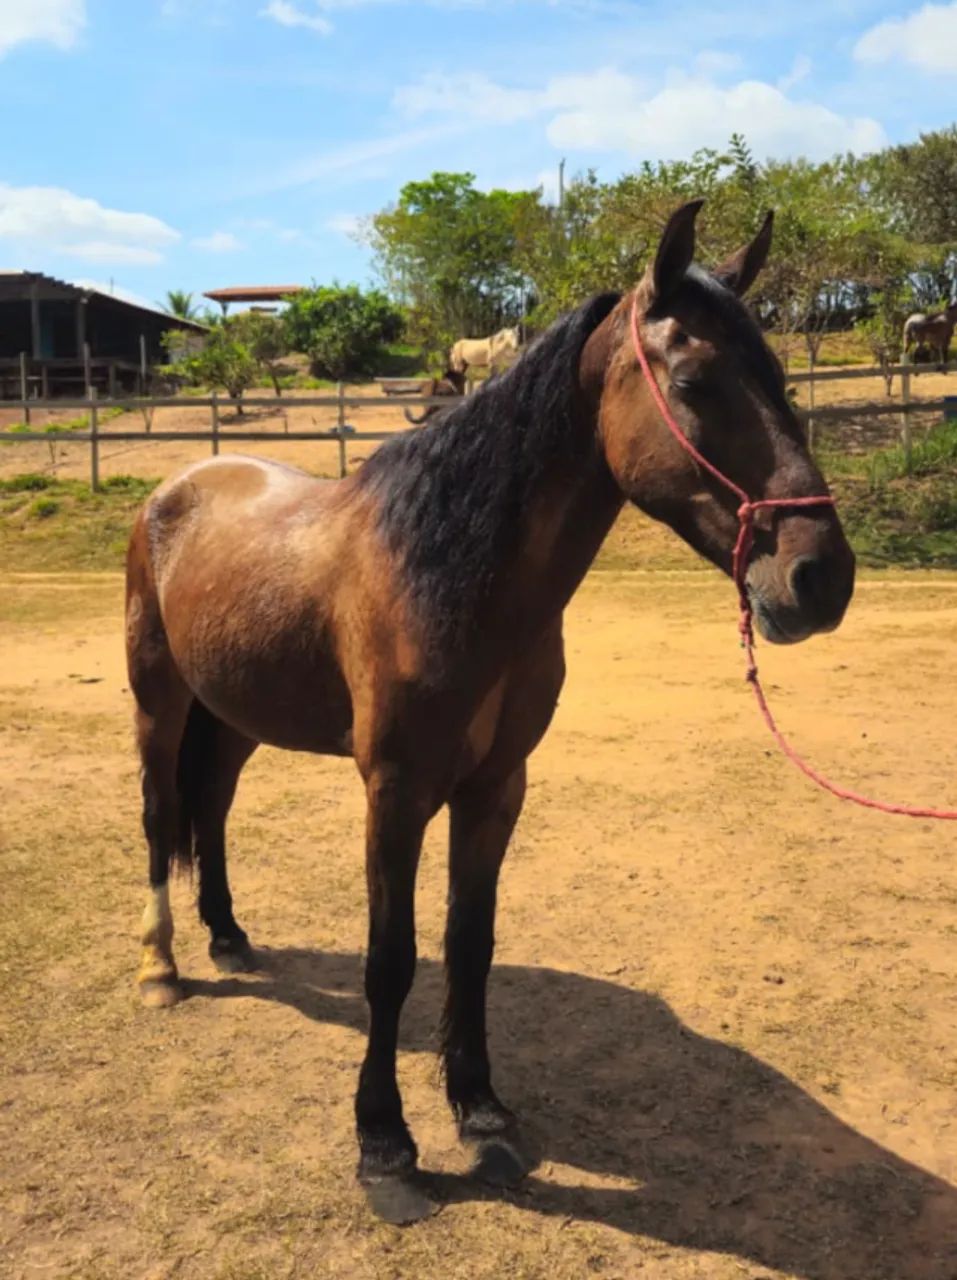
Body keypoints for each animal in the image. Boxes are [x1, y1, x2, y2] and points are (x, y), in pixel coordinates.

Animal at [125, 200, 855, 1226]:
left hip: (232, 717)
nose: (819, 577)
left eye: (782, 379)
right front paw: (385, 1148)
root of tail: (175, 488)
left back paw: (228, 939)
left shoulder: (494, 789)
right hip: (159, 701)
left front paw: (480, 1113)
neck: (449, 577)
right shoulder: (393, 792)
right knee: (161, 818)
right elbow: (390, 960)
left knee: (214, 811)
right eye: (694, 381)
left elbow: (468, 944)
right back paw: (162, 970)